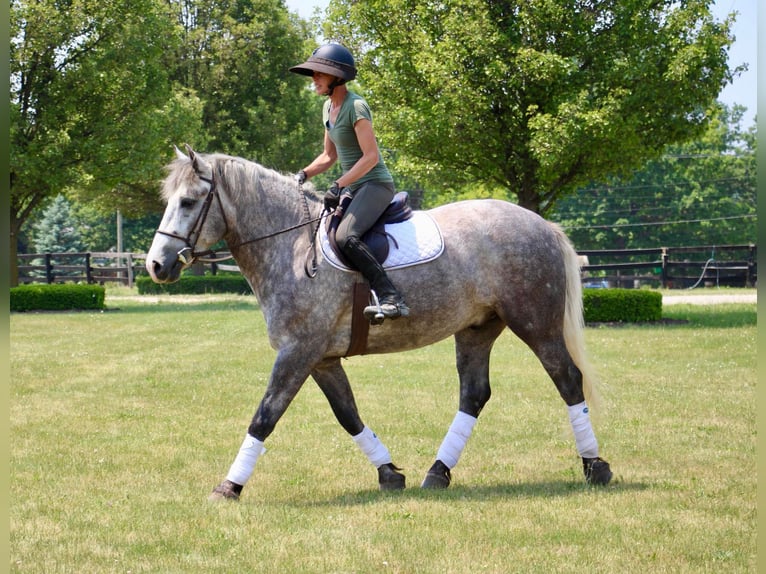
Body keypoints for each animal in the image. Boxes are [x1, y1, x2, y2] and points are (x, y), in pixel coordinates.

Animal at [144, 146, 616, 502]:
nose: (156, 266)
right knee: (474, 393)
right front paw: (389, 473)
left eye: (188, 202)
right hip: (477, 328)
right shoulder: (320, 358)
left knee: (567, 378)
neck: (290, 245)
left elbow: (265, 415)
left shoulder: (297, 352)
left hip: (535, 324)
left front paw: (229, 486)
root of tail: (542, 224)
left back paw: (595, 466)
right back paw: (437, 473)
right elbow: (347, 413)